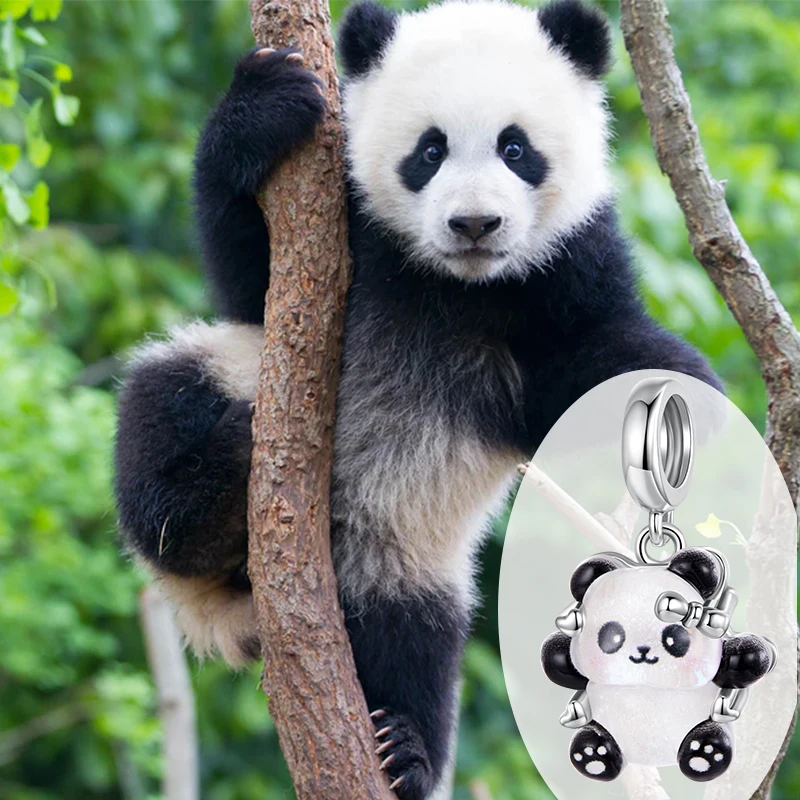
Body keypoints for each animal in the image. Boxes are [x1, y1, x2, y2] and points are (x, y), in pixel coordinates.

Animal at [114, 1, 723, 797]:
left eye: (516, 148)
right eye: (429, 151)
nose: (474, 224)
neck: (452, 284)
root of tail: (234, 598)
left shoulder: (567, 267)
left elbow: (592, 362)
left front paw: (692, 400)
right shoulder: (343, 233)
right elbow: (247, 274)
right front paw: (265, 103)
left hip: (403, 552)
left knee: (414, 639)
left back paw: (403, 748)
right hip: (223, 375)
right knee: (161, 418)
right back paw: (211, 490)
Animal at [541, 550, 774, 782]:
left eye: (674, 638)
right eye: (613, 636)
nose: (642, 650)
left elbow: (745, 659)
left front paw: (748, 654)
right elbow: (558, 660)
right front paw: (558, 650)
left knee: (711, 733)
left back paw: (705, 753)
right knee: (593, 736)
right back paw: (592, 753)